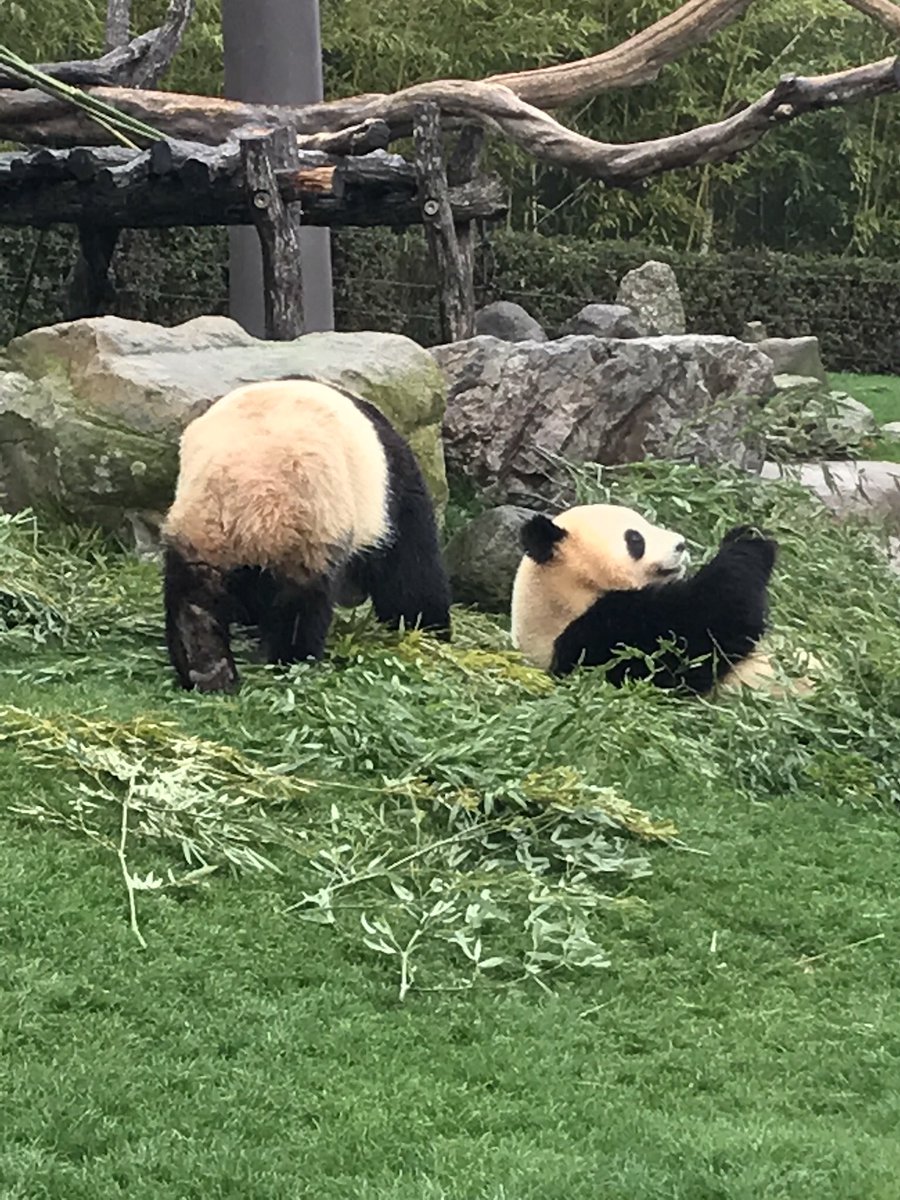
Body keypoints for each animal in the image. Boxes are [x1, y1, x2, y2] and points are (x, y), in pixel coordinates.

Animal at [160, 374, 451, 696]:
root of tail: (244, 496)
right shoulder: (394, 493)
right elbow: (410, 569)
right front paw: (428, 628)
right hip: (306, 531)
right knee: (301, 608)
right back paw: (294, 662)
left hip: (199, 532)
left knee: (193, 598)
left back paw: (207, 670)